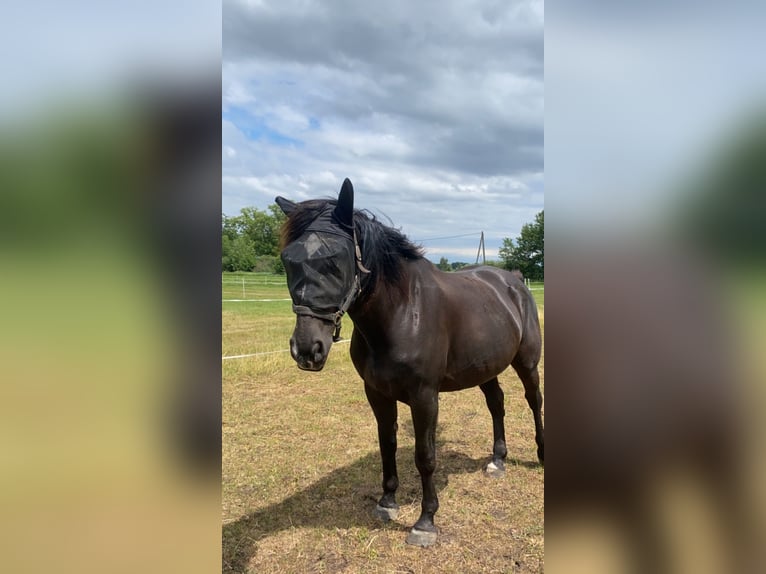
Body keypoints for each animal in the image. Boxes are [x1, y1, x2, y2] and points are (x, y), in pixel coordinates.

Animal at [276, 180, 544, 548]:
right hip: (485, 367)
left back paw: (540, 455)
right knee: (497, 404)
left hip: (526, 362)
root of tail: (513, 281)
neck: (401, 312)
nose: (307, 349)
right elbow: (387, 444)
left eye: (335, 260)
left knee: (534, 401)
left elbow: (425, 456)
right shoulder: (377, 393)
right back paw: (497, 460)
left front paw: (425, 522)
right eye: (289, 260)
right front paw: (387, 502)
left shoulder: (424, 397)